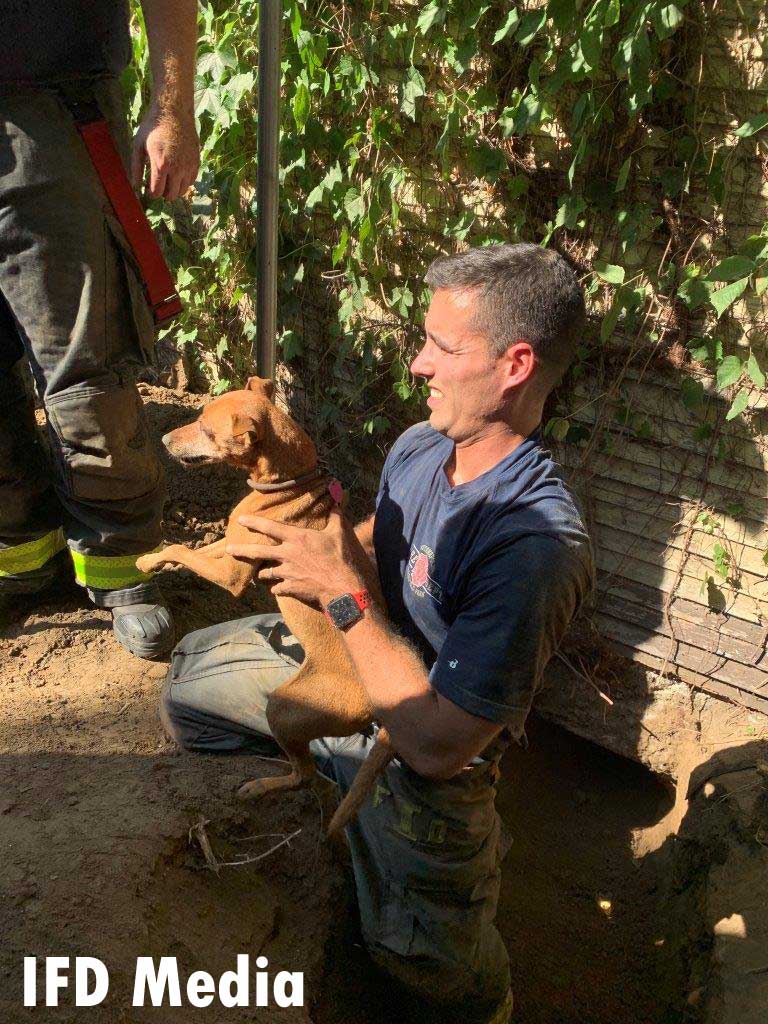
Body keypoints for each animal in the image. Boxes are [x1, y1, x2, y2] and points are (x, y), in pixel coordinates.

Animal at [135, 376, 393, 831]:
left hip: (285, 712)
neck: (290, 483)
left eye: (206, 429)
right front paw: (150, 559)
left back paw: (260, 786)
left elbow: (184, 548)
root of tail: (375, 705)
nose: (163, 440)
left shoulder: (234, 575)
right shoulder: (232, 543)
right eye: (198, 416)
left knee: (306, 775)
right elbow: (183, 549)